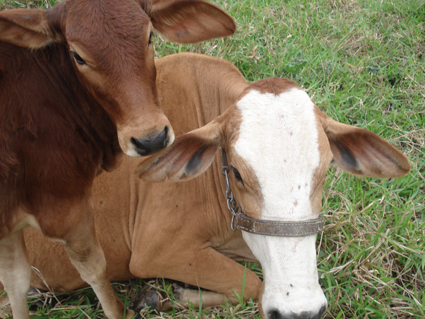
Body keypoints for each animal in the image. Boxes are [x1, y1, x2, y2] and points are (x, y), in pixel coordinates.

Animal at [0, 2, 234, 319]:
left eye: (149, 36)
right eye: (77, 56)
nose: (151, 140)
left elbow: (16, 279)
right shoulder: (67, 209)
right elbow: (93, 267)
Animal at [19, 53, 408, 318]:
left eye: (326, 169)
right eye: (236, 172)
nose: (300, 310)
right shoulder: (157, 251)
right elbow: (253, 284)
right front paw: (162, 296)